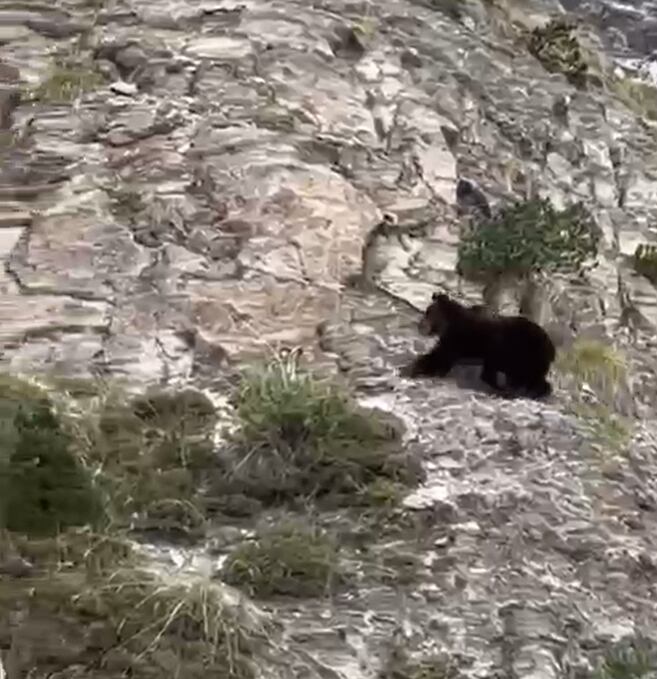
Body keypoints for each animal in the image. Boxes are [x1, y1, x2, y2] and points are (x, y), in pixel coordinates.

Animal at [401, 292, 556, 399]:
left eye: (428, 312)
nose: (420, 326)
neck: (448, 324)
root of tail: (551, 346)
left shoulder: (458, 340)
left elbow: (439, 357)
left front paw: (412, 369)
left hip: (524, 351)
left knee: (529, 377)